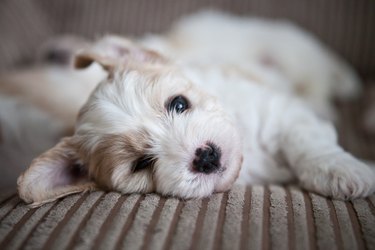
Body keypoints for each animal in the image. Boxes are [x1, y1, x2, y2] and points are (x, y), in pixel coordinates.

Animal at [13, 11, 375, 206]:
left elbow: (307, 141)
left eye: (179, 103)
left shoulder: (278, 109)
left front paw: (343, 171)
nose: (206, 156)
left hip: (285, 48)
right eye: (141, 163)